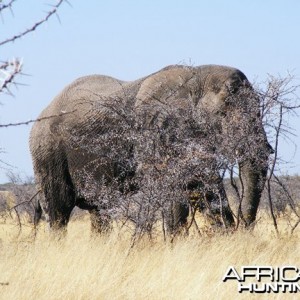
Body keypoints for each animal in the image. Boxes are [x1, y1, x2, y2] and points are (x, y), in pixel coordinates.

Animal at [29, 64, 272, 234]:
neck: (198, 77)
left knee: (100, 211)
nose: (245, 228)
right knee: (58, 211)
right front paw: (174, 245)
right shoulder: (156, 131)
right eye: (223, 113)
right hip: (47, 152)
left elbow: (203, 183)